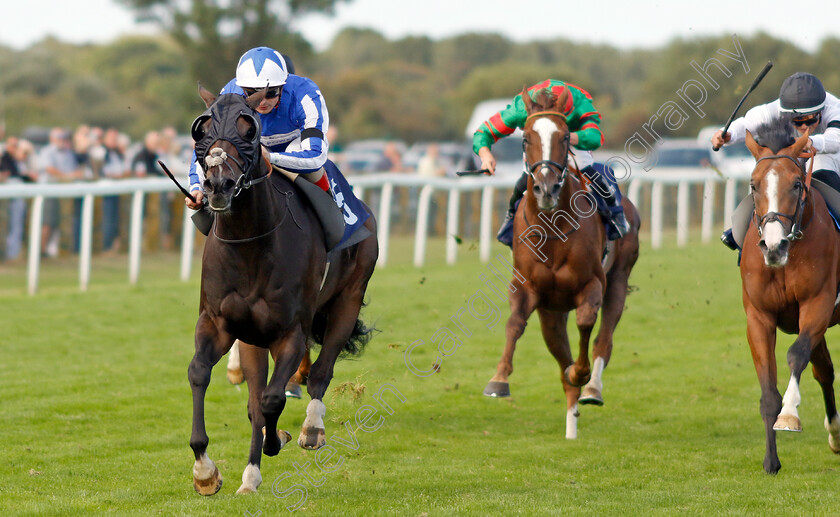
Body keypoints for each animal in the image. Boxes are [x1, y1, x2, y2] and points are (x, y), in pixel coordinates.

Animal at [190, 86, 378, 494]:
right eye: (203, 129)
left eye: (249, 130)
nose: (217, 185)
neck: (249, 245)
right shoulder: (222, 324)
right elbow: (202, 375)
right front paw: (206, 471)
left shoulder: (290, 331)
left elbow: (272, 399)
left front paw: (278, 439)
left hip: (348, 298)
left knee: (321, 372)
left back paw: (312, 428)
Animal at [482, 86, 640, 438]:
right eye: (525, 138)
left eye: (566, 136)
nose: (546, 188)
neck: (552, 227)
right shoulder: (528, 288)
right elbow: (514, 323)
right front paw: (498, 379)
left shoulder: (592, 284)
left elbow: (585, 322)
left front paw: (581, 374)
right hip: (551, 313)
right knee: (561, 360)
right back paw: (571, 422)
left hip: (619, 279)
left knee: (604, 338)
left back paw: (591, 388)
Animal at [740, 121, 840, 472]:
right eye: (753, 185)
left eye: (796, 184)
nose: (773, 246)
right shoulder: (759, 317)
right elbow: (769, 391)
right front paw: (771, 461)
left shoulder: (818, 304)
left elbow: (796, 355)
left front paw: (789, 416)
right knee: (824, 370)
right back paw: (835, 434)